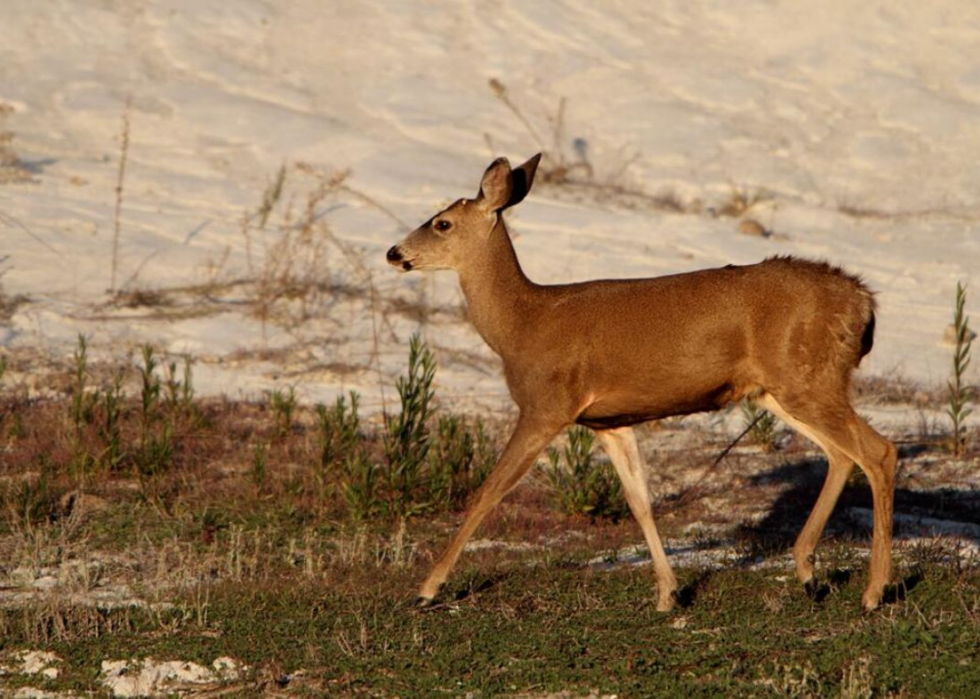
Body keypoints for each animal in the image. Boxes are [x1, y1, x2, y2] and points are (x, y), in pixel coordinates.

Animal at [384, 154, 896, 612]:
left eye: (442, 223)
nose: (394, 252)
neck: (524, 325)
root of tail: (864, 303)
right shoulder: (608, 421)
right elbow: (640, 501)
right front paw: (669, 594)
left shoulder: (546, 404)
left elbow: (489, 491)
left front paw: (426, 590)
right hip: (781, 388)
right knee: (841, 455)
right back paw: (809, 575)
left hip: (807, 377)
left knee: (878, 451)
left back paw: (873, 593)